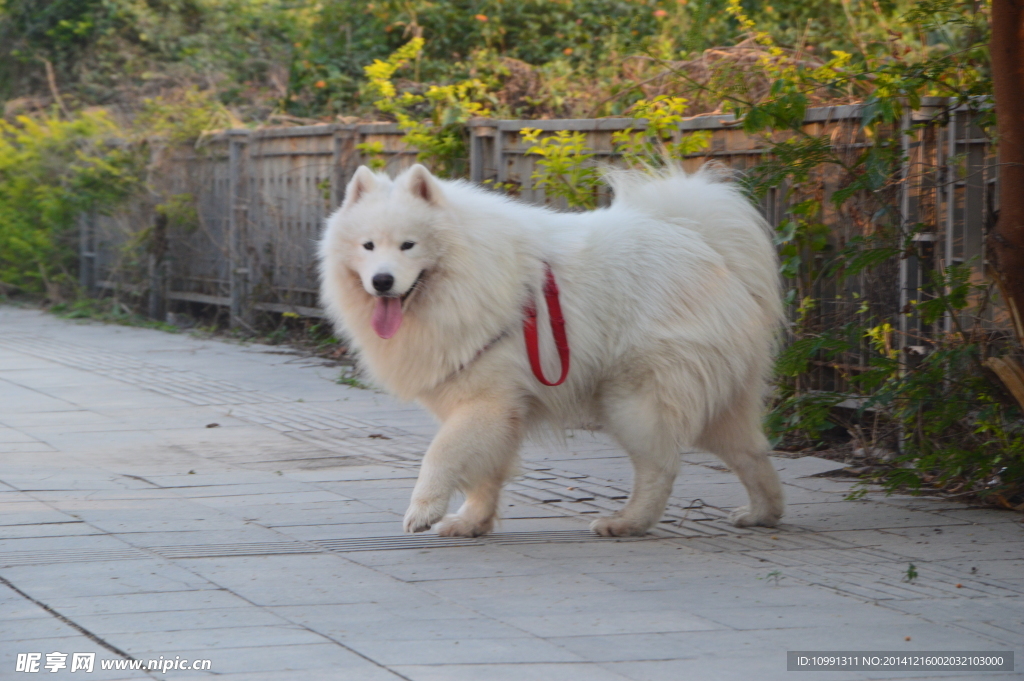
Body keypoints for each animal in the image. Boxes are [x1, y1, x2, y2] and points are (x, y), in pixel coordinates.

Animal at [317, 163, 782, 536]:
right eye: (368, 246)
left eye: (408, 245)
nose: (382, 281)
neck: (464, 276)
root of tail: (706, 244)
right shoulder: (498, 408)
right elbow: (484, 474)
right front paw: (471, 523)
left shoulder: (486, 400)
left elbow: (440, 454)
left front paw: (423, 511)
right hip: (717, 402)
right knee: (752, 452)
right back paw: (763, 513)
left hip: (634, 400)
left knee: (660, 467)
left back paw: (626, 523)